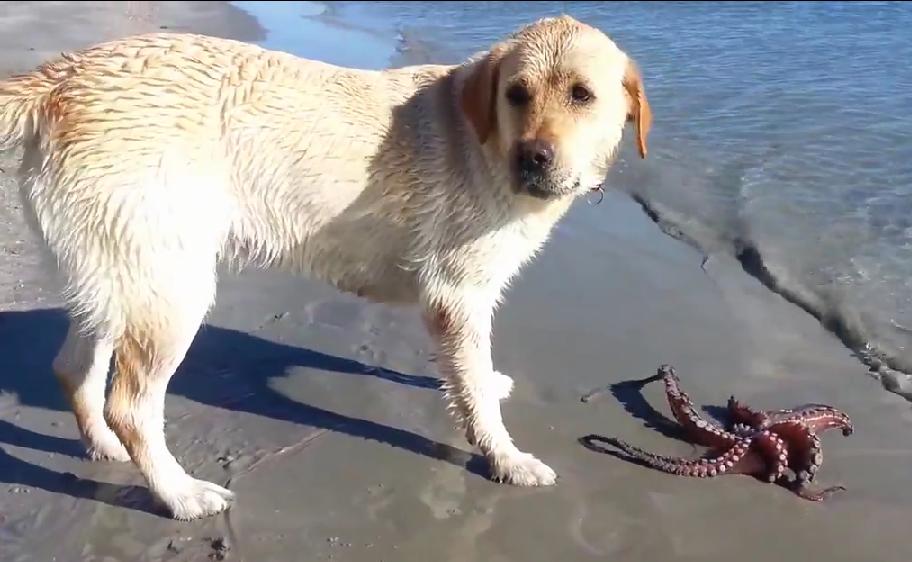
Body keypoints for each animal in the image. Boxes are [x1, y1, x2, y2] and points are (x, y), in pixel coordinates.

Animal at [0, 14, 648, 520]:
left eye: (582, 95)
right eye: (516, 93)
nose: (534, 157)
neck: (482, 139)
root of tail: (60, 77)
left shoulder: (466, 300)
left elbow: (471, 377)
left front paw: (487, 386)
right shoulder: (457, 294)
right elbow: (476, 399)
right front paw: (505, 457)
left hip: (118, 277)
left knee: (72, 368)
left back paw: (104, 447)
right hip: (172, 289)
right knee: (130, 406)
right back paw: (180, 494)